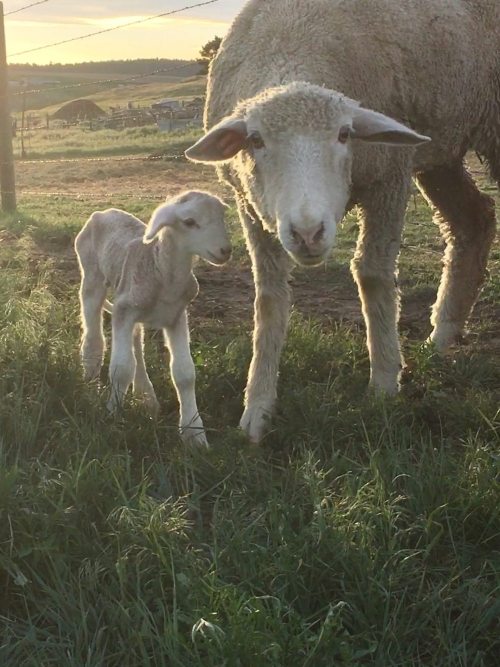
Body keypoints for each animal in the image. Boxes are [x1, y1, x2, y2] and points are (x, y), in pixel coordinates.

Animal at [74, 191, 231, 447]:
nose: (225, 250)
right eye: (189, 222)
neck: (163, 273)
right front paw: (112, 418)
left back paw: (146, 398)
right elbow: (121, 368)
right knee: (94, 337)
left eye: (222, 217)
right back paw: (90, 386)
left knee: (136, 344)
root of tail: (103, 212)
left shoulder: (176, 316)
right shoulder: (123, 310)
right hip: (91, 275)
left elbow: (185, 373)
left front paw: (194, 434)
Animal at [185, 0, 499, 443]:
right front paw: (257, 407)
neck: (292, 40)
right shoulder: (250, 205)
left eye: (345, 134)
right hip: (441, 147)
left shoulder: (389, 176)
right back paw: (441, 337)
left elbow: (373, 275)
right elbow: (268, 299)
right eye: (257, 140)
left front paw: (384, 384)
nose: (308, 232)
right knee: (473, 221)